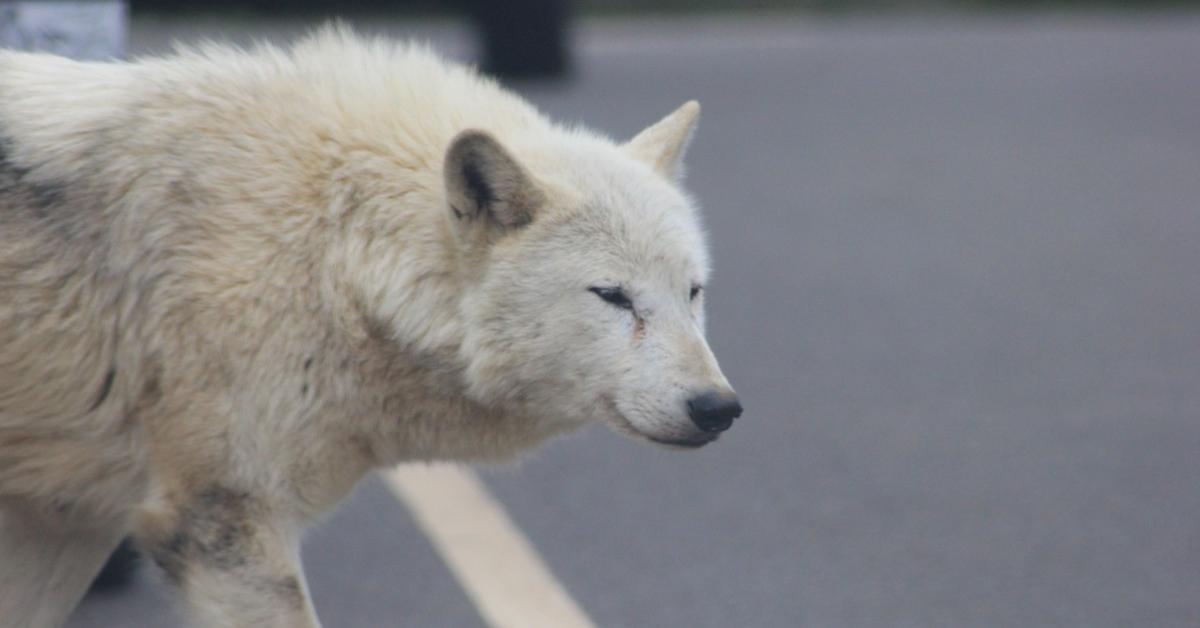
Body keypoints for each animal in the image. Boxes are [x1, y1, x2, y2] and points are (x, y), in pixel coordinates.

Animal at [0, 27, 739, 624]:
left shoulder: (69, 524)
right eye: (612, 296)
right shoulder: (223, 524)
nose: (719, 408)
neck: (329, 248)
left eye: (691, 292)